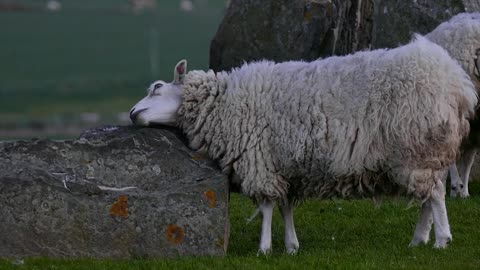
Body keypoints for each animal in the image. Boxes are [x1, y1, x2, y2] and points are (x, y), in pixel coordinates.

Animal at [129, 35, 478, 253]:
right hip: (424, 154)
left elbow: (267, 207)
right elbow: (285, 207)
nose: (132, 114)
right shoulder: (285, 167)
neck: (223, 103)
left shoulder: (260, 161)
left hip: (416, 149)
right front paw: (290, 246)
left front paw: (264, 248)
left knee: (435, 195)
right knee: (427, 197)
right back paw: (419, 240)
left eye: (157, 88)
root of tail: (456, 83)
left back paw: (441, 239)